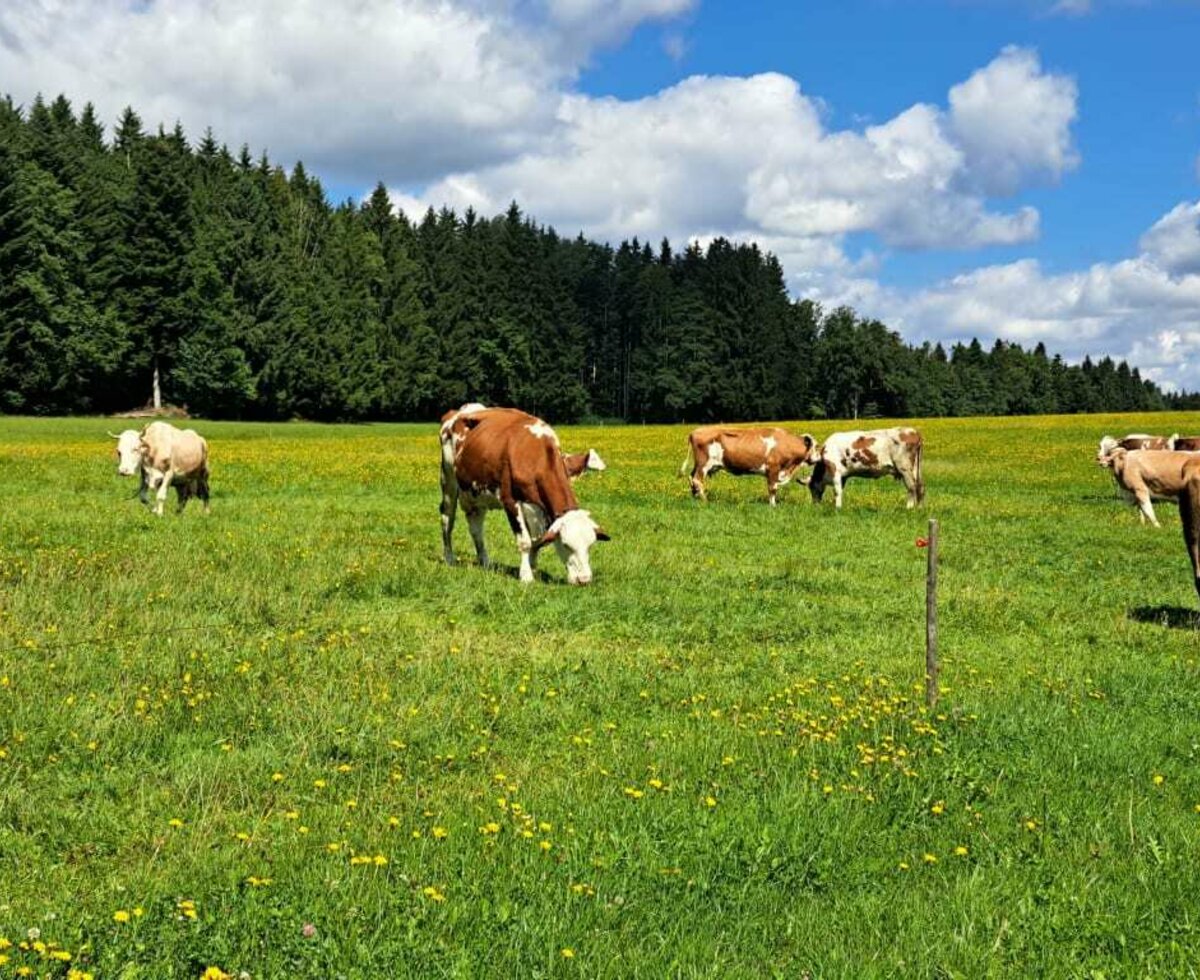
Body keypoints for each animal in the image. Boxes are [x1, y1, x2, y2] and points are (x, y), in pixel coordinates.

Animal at [441, 403, 609, 585]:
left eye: (590, 545)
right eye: (566, 544)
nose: (584, 579)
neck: (536, 456)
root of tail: (461, 410)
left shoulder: (538, 506)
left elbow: (538, 540)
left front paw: (532, 566)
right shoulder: (510, 501)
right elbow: (525, 541)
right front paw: (526, 575)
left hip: (476, 494)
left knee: (476, 529)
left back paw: (485, 561)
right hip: (448, 481)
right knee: (447, 518)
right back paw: (449, 558)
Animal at [681, 427, 820, 503]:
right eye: (816, 446)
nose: (819, 457)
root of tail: (695, 432)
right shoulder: (773, 469)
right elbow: (772, 489)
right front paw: (773, 506)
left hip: (698, 465)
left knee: (692, 478)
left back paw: (695, 498)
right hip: (703, 465)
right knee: (697, 480)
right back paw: (705, 501)